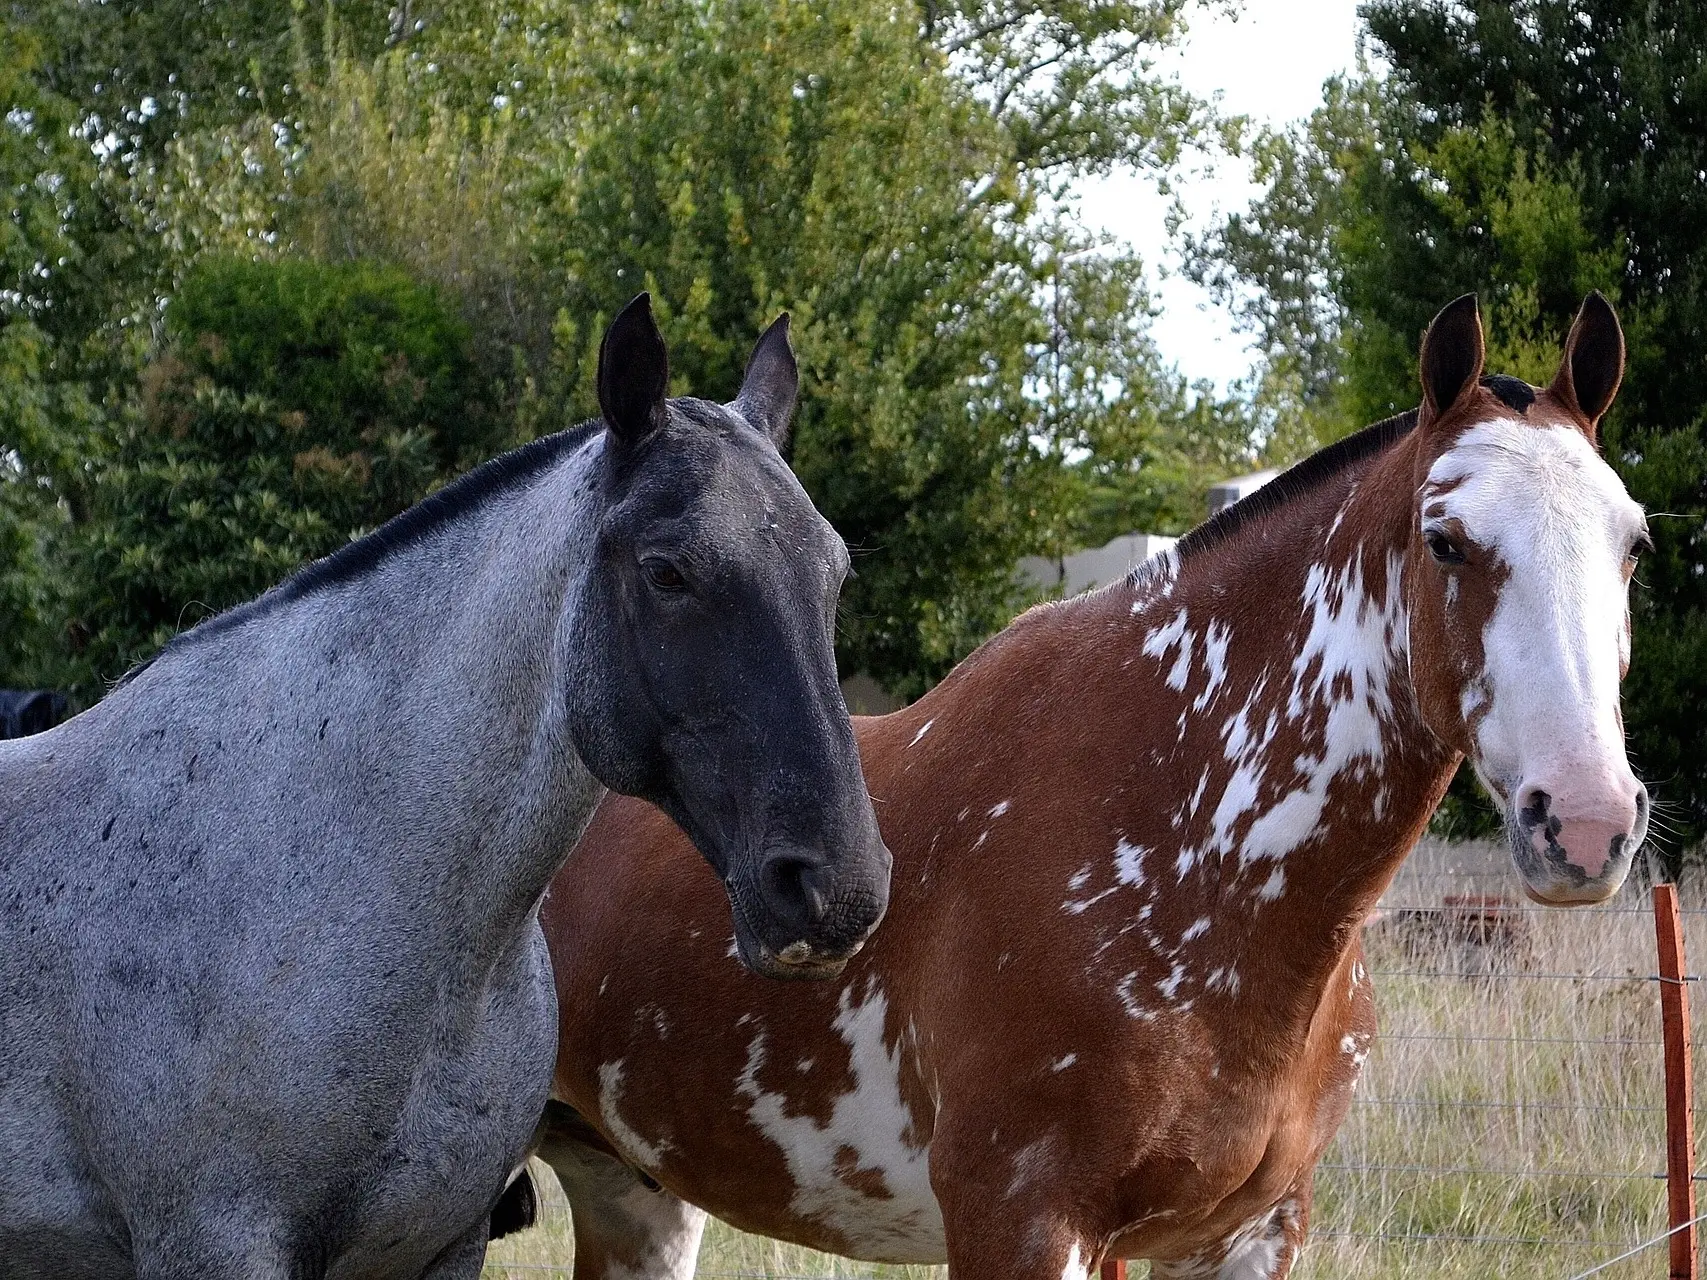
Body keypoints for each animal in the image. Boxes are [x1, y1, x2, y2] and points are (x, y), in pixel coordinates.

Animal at [535, 293, 1652, 1280]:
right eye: (1444, 541)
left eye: (1633, 545)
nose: (1585, 821)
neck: (1181, 832)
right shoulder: (1022, 1222)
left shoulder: (1245, 1235)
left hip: (632, 1193)